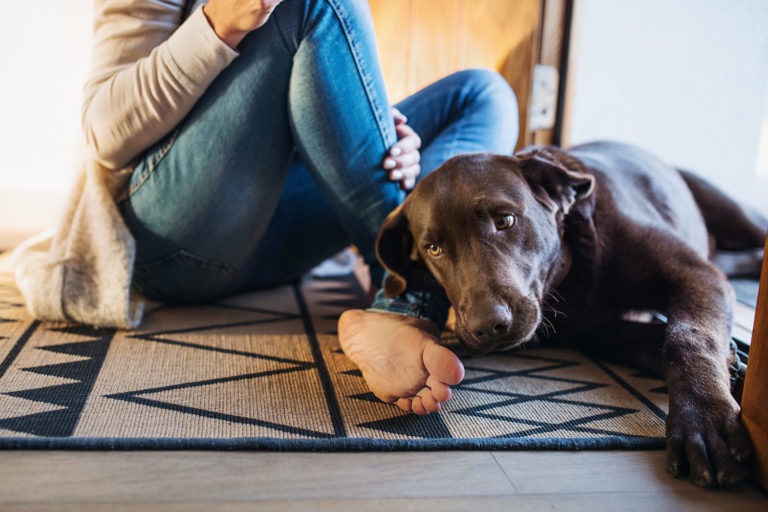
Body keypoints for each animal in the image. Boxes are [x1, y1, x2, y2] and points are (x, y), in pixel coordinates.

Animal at [376, 140, 764, 488]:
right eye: (433, 249)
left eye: (505, 220)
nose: (487, 326)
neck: (575, 259)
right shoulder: (589, 329)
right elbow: (636, 339)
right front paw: (733, 363)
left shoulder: (695, 273)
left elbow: (687, 336)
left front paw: (703, 418)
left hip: (733, 214)